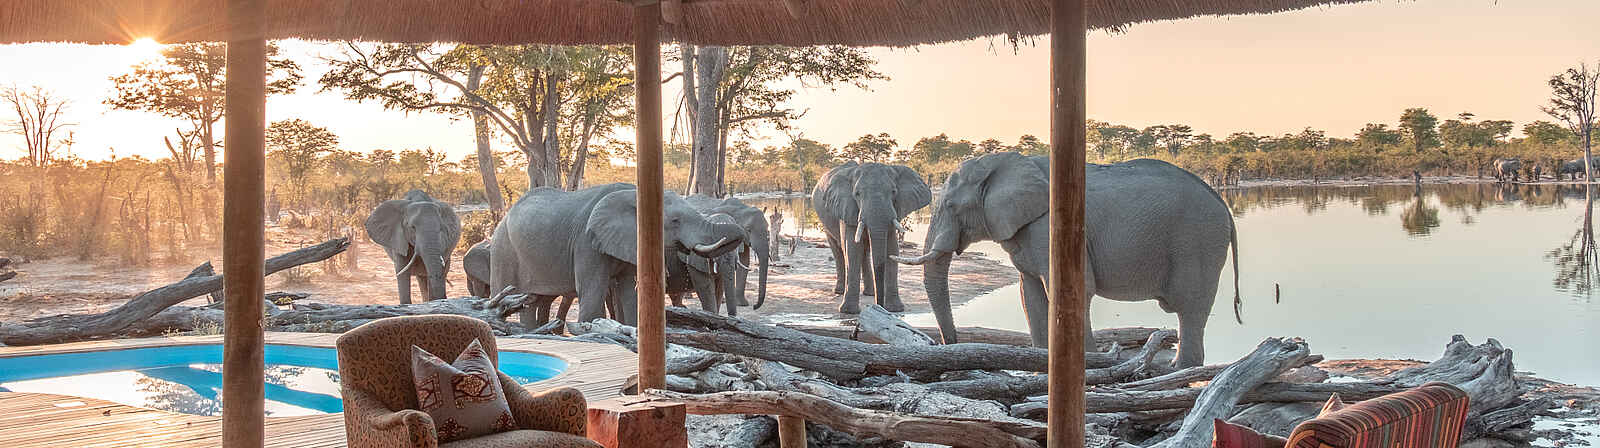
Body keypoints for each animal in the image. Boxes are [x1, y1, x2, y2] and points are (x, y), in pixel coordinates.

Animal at [489, 183, 746, 326]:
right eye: (675, 221)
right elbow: (592, 291)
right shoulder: (586, 243)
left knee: (532, 302)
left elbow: (630, 290)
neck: (634, 194)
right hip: (502, 251)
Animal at [811, 162, 932, 314]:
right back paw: (839, 291)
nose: (879, 305)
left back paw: (869, 293)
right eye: (857, 194)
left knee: (865, 252)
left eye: (893, 192)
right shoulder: (847, 208)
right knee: (838, 251)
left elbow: (892, 248)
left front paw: (896, 309)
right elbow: (852, 249)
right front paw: (848, 311)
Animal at [892, 153, 1238, 368]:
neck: (1003, 162)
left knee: (1190, 308)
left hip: (1198, 242)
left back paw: (1180, 369)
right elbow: (1029, 295)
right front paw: (1039, 366)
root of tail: (1221, 202)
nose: (948, 345)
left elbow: (1074, 290)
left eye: (951, 206)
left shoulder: (1050, 228)